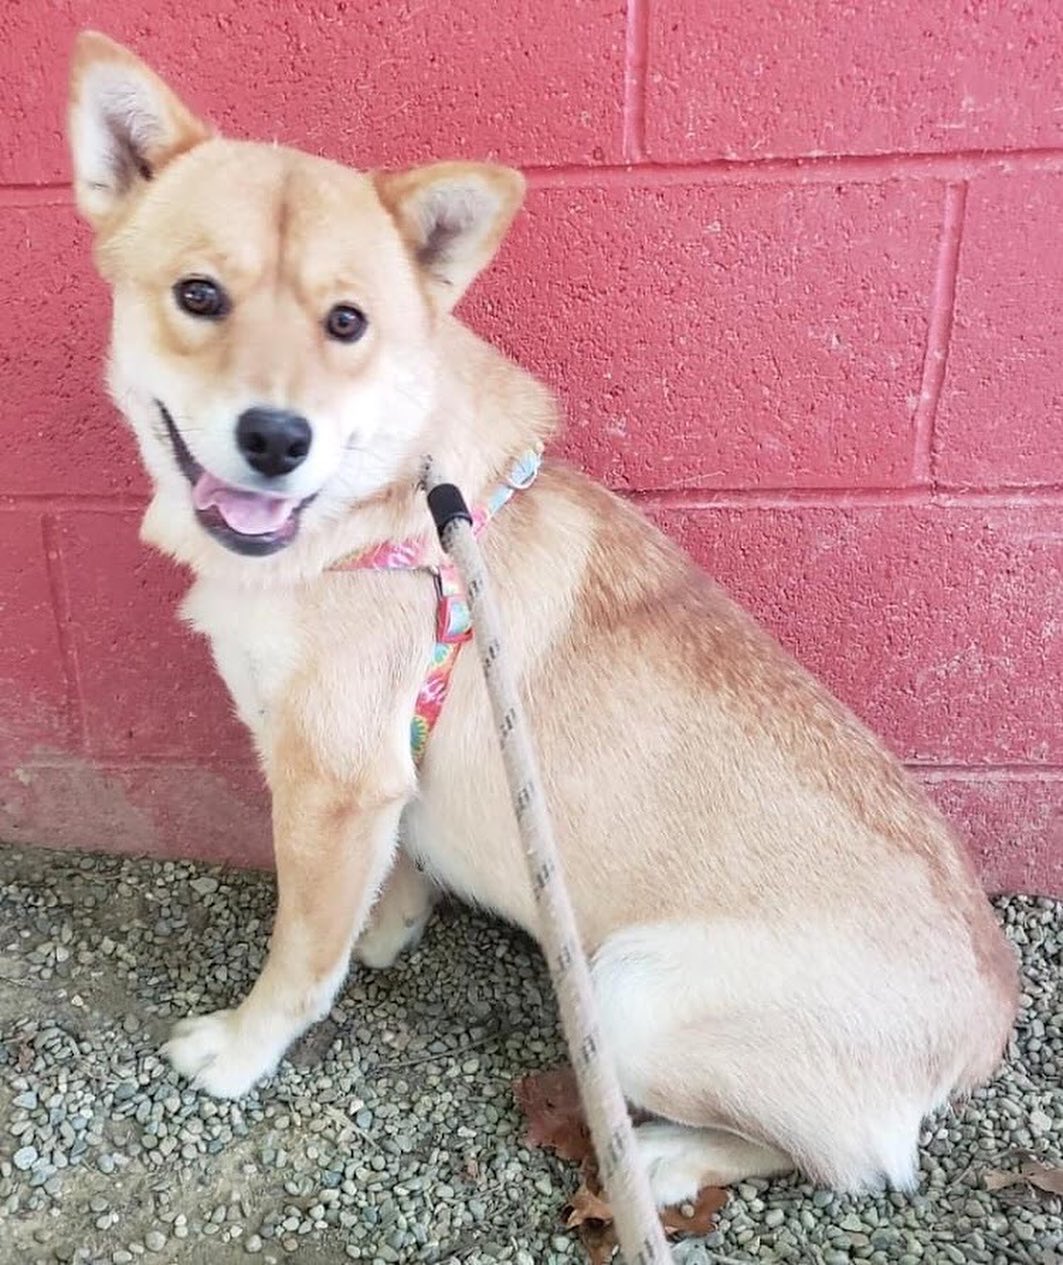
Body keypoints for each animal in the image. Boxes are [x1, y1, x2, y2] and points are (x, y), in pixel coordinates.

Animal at [70, 32, 1017, 1204]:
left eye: (348, 322)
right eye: (198, 294)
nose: (277, 437)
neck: (371, 511)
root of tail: (988, 1023)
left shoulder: (329, 784)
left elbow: (299, 952)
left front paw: (244, 1048)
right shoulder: (371, 779)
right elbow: (384, 875)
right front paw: (390, 923)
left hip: (628, 990)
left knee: (846, 1158)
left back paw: (659, 1156)